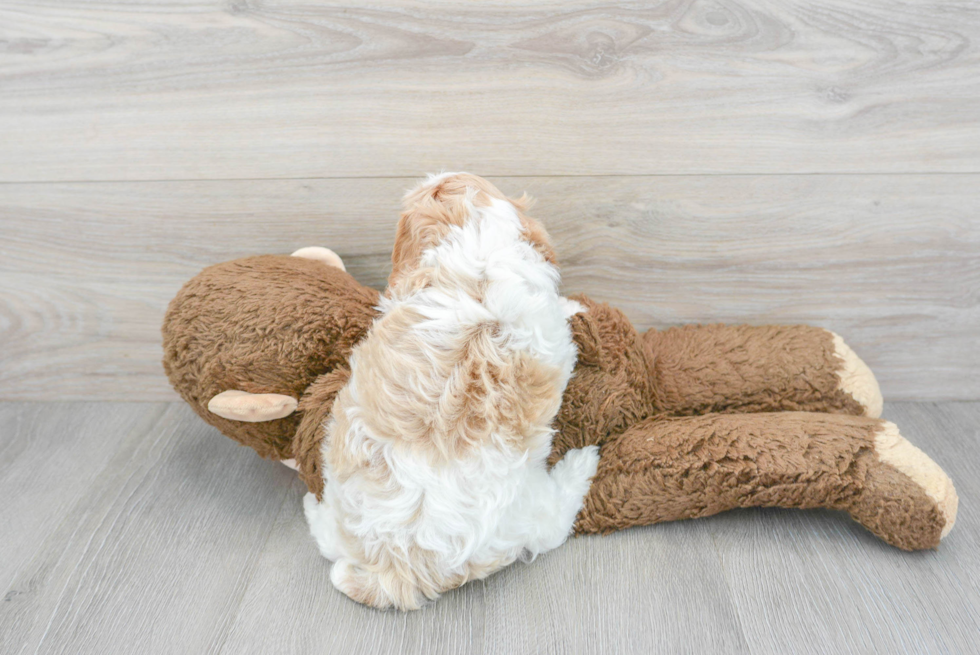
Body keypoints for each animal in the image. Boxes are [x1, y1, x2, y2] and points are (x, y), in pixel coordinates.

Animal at [302, 173, 600, 608]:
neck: (478, 254)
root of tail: (397, 567)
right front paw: (573, 306)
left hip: (340, 502)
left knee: (327, 538)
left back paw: (312, 505)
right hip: (530, 510)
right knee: (554, 526)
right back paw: (583, 463)